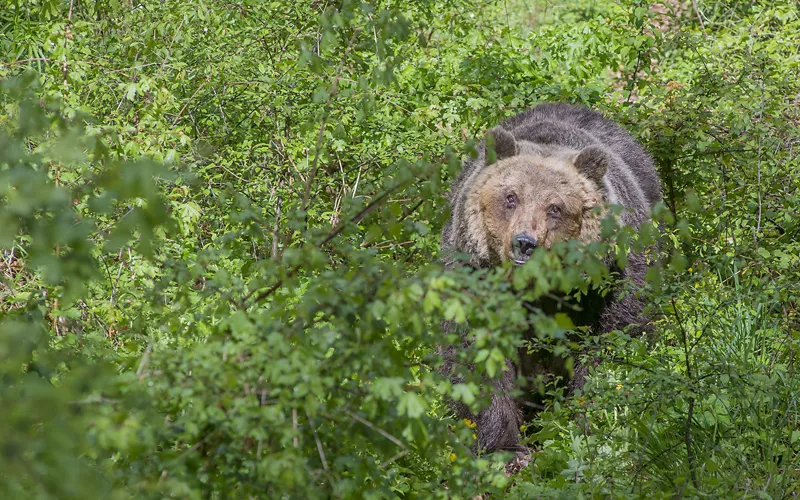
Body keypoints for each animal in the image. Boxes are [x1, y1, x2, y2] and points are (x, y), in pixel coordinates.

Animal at [440, 101, 660, 460]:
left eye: (555, 207)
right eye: (510, 197)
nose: (524, 243)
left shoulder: (610, 286)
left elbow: (612, 348)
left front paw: (592, 428)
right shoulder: (473, 275)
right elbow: (477, 358)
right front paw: (504, 447)